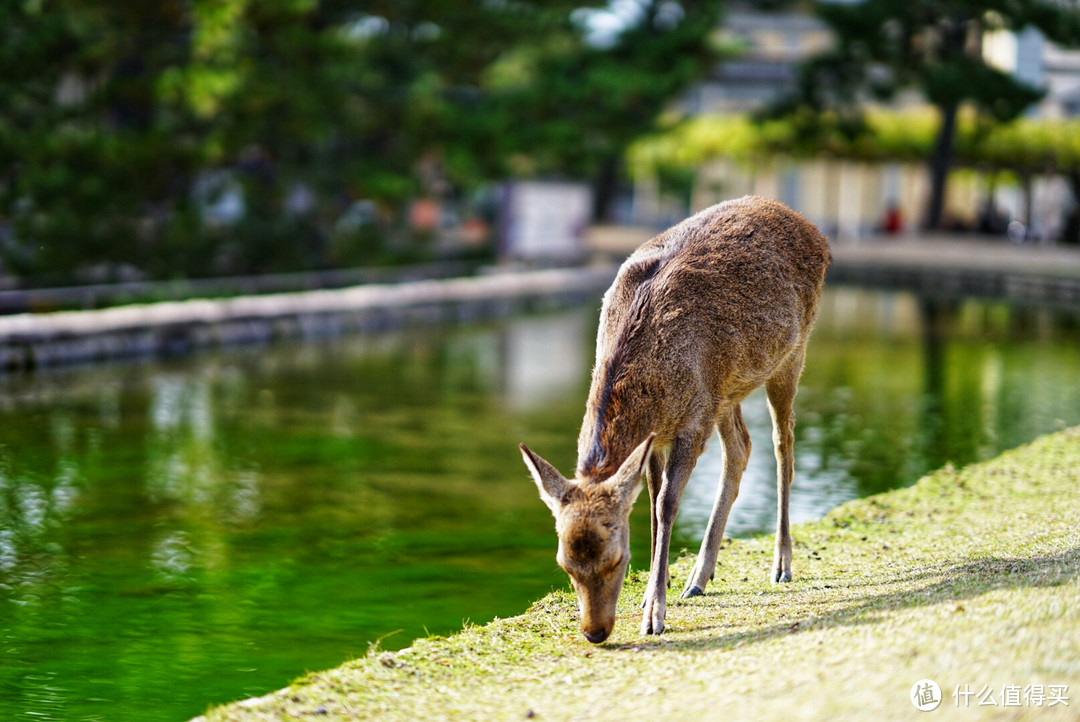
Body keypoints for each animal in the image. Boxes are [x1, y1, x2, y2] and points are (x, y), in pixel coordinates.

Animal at [518, 194, 829, 638]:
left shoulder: (691, 425)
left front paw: (654, 612)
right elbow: (650, 499)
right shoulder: (663, 432)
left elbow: (667, 504)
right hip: (724, 390)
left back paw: (781, 565)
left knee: (782, 441)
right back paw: (700, 576)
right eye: (565, 565)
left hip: (792, 352)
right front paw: (656, 585)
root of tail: (810, 227)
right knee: (741, 447)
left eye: (616, 559)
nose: (595, 631)